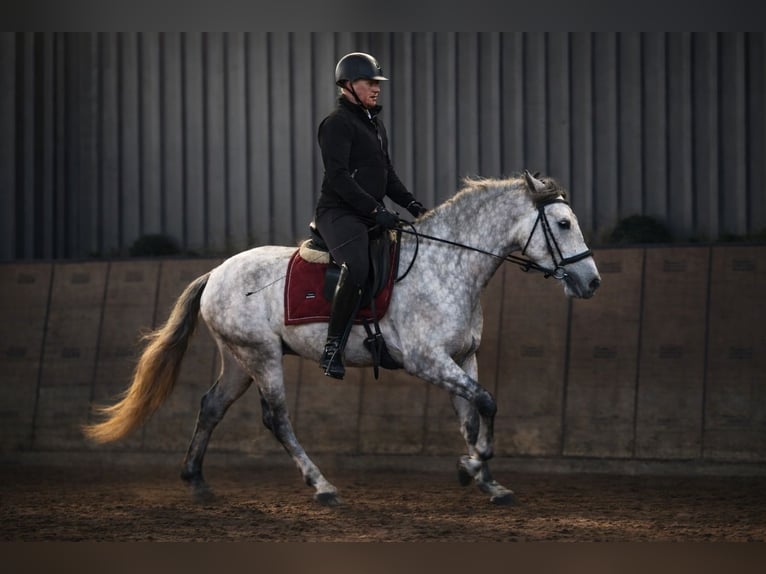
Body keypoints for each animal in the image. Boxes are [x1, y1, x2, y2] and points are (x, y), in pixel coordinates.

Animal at [83, 171, 601, 506]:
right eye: (562, 224)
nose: (592, 282)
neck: (448, 265)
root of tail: (216, 273)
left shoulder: (462, 357)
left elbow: (475, 417)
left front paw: (485, 480)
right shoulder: (427, 360)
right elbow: (488, 403)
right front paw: (471, 469)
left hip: (238, 359)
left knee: (211, 407)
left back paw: (196, 483)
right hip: (262, 356)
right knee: (278, 420)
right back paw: (323, 486)